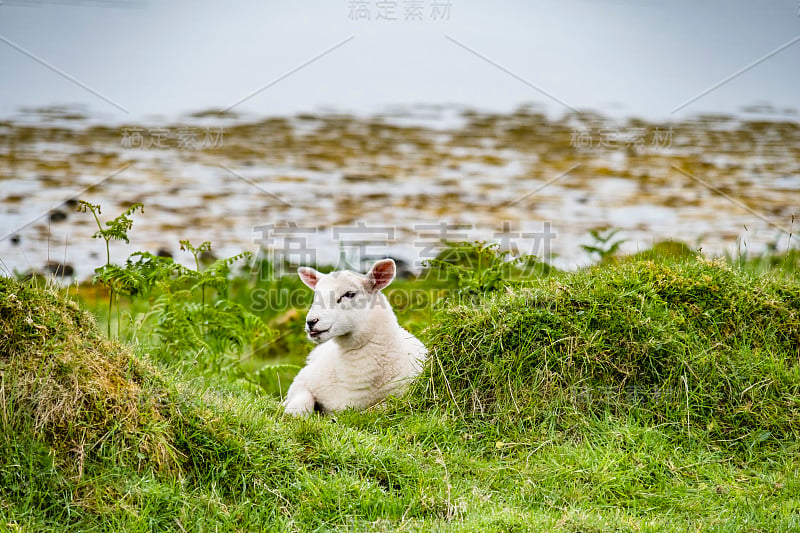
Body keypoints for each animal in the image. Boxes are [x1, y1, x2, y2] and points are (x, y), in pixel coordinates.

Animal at [282, 258, 428, 416]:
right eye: (316, 296)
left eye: (349, 294)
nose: (311, 321)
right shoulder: (302, 379)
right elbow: (300, 403)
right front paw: (292, 414)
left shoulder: (401, 397)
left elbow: (377, 409)